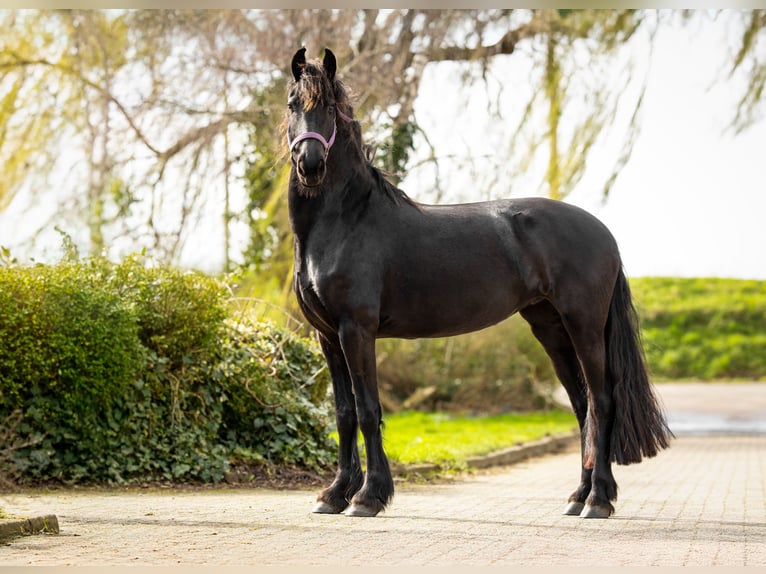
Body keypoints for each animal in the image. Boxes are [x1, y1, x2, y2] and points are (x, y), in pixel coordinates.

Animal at [285, 47, 672, 519]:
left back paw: (598, 500)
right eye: (292, 104)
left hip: (584, 326)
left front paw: (368, 497)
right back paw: (578, 497)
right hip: (550, 327)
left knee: (602, 402)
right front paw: (334, 494)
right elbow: (342, 413)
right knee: (582, 406)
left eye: (328, 108)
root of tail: (603, 232)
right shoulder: (327, 335)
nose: (310, 165)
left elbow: (367, 409)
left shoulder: (356, 331)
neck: (345, 221)